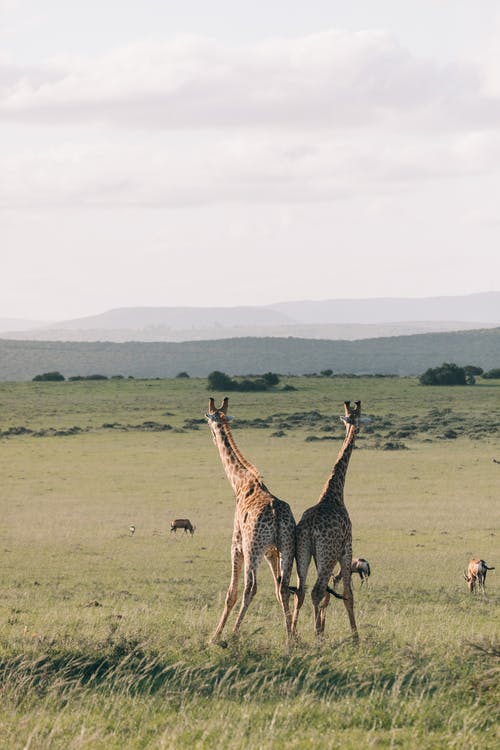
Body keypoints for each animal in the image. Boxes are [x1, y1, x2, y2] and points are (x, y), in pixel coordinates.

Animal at [204, 396, 294, 644]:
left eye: (208, 422)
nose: (212, 437)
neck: (239, 482)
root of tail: (275, 513)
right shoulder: (271, 552)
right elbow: (279, 590)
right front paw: (294, 635)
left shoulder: (236, 545)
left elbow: (230, 594)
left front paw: (215, 636)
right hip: (286, 548)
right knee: (285, 587)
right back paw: (292, 638)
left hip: (253, 548)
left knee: (250, 588)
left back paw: (234, 634)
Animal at [292, 400, 362, 640]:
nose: (356, 428)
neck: (333, 492)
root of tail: (310, 529)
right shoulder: (346, 548)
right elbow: (348, 594)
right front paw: (355, 636)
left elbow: (328, 596)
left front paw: (323, 626)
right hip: (327, 553)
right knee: (316, 590)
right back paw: (316, 636)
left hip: (303, 552)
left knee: (300, 591)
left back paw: (293, 634)